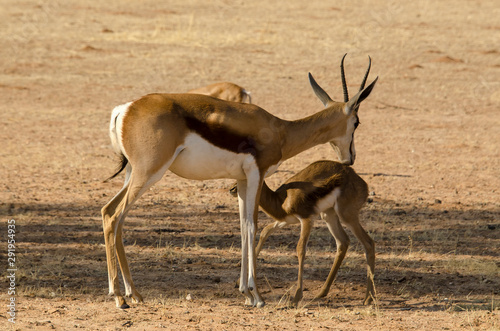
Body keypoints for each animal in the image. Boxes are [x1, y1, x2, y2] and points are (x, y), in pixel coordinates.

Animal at [229, 161, 374, 306]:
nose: (232, 189)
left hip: (346, 216)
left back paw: (368, 298)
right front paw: (239, 282)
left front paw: (296, 297)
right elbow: (265, 231)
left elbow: (300, 249)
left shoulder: (306, 219)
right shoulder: (285, 220)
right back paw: (321, 293)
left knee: (368, 242)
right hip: (328, 215)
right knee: (343, 242)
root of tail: (361, 182)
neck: (282, 199)